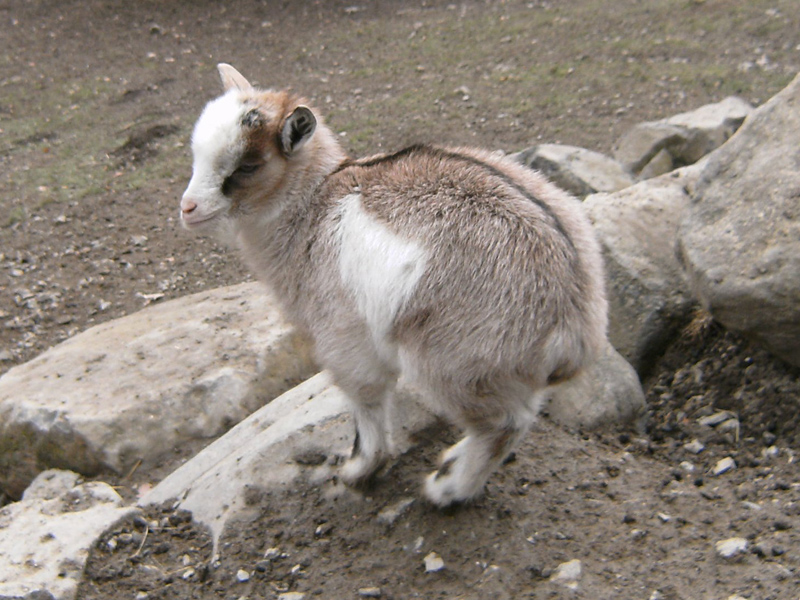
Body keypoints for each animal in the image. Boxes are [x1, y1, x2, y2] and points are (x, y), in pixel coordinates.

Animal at [180, 64, 608, 506]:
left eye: (247, 166)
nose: (187, 209)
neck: (315, 202)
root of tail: (577, 327)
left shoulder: (343, 338)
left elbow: (365, 400)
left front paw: (358, 471)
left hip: (454, 363)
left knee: (503, 425)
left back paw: (445, 490)